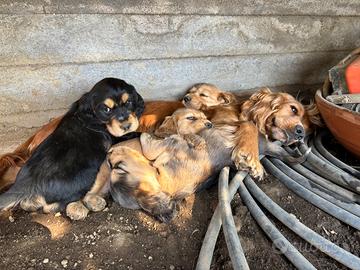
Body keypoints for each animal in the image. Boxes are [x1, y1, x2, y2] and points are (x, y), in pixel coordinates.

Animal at [0, 77, 144, 213]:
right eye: (107, 109)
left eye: (128, 102)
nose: (126, 126)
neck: (91, 116)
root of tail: (27, 183)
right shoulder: (115, 137)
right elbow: (136, 133)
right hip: (84, 178)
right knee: (51, 207)